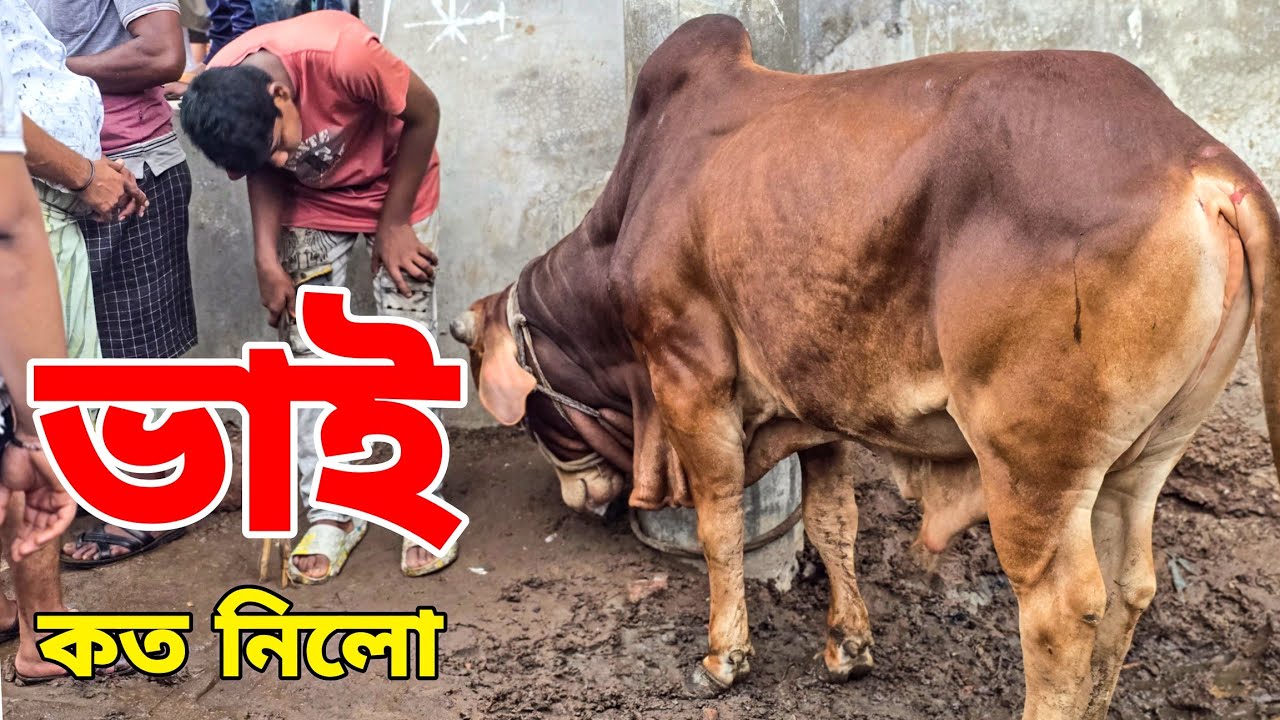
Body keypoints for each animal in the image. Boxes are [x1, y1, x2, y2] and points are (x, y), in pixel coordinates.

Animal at [448, 14, 1279, 719]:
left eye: (533, 418)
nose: (576, 495)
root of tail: (1200, 161)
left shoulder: (691, 378)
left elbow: (718, 525)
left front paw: (723, 658)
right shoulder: (815, 407)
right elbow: (833, 521)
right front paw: (848, 646)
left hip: (1032, 467)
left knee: (1062, 609)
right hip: (1141, 457)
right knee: (1131, 584)